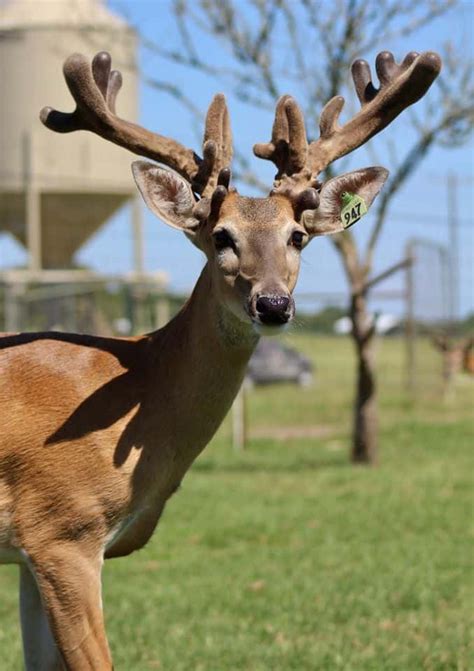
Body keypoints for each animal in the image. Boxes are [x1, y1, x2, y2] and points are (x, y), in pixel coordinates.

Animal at [0, 50, 440, 668]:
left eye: (298, 236)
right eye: (221, 237)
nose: (274, 304)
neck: (139, 385)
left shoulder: (29, 552)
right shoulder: (61, 529)